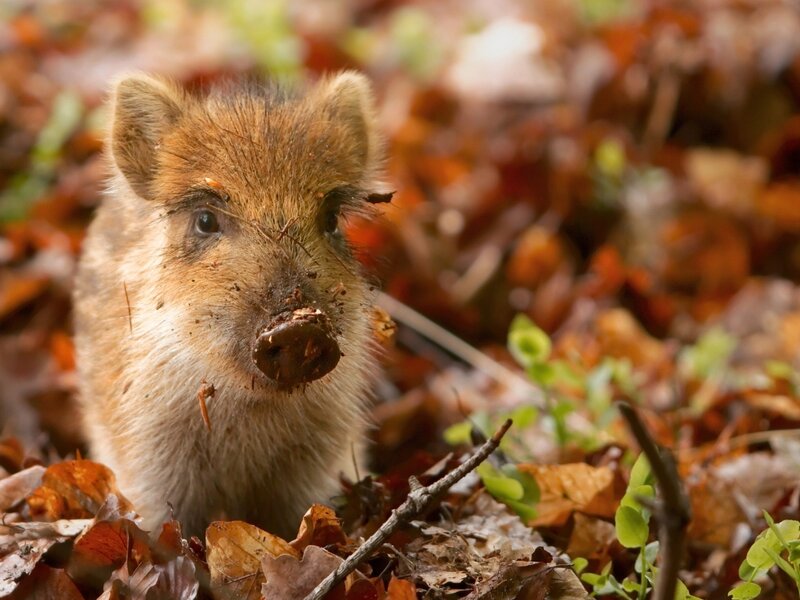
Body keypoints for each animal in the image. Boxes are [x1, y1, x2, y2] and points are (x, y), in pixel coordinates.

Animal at [73, 72, 384, 538]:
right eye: (205, 219)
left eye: (330, 219)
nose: (297, 327)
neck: (249, 414)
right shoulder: (148, 452)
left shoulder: (318, 455)